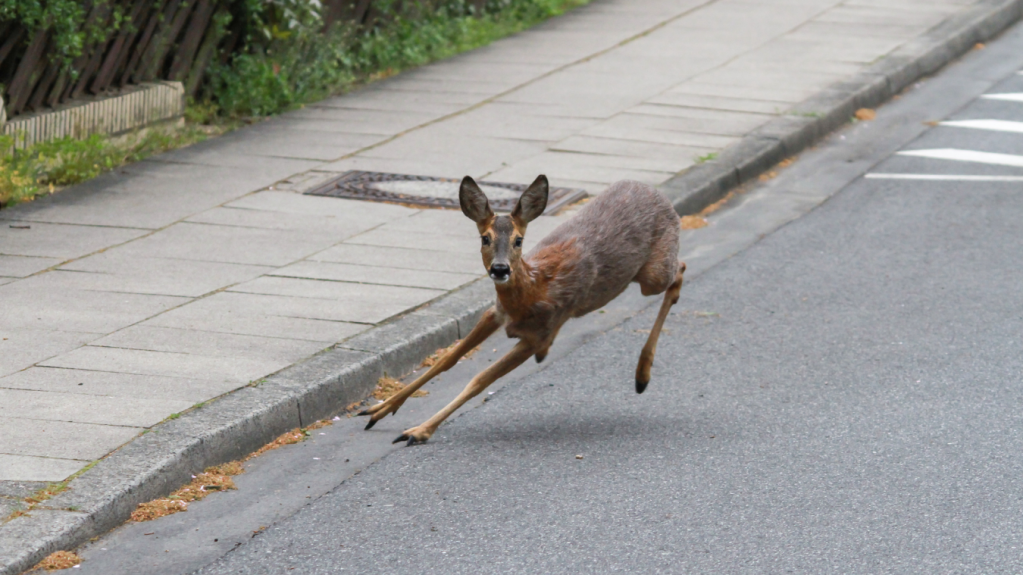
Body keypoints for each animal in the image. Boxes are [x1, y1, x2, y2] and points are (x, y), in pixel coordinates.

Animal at [359, 174, 685, 446]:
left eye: (518, 240)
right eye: (485, 238)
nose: (500, 269)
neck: (533, 287)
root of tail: (659, 195)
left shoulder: (537, 334)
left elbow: (480, 379)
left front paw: (418, 431)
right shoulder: (494, 313)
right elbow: (446, 360)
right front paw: (378, 409)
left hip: (652, 275)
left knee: (679, 270)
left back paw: (642, 376)